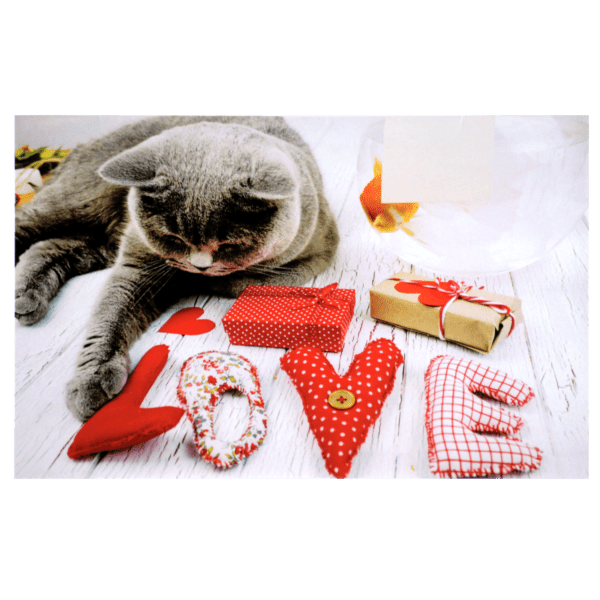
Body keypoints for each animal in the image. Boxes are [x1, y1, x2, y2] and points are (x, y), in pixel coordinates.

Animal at [15, 113, 338, 422]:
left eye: (228, 244)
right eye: (173, 238)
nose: (200, 267)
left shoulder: (320, 249)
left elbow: (251, 279)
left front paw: (208, 282)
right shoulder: (138, 260)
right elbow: (113, 311)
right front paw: (91, 379)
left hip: (98, 243)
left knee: (51, 247)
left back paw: (26, 296)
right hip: (76, 201)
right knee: (29, 225)